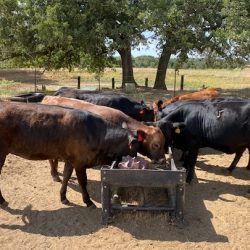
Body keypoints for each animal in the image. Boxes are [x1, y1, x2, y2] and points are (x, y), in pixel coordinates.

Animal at [0, 101, 141, 207]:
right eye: (134, 150)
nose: (137, 160)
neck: (98, 134)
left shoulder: (70, 159)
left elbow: (66, 177)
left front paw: (63, 197)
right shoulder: (80, 162)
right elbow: (83, 181)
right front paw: (88, 201)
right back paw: (2, 201)